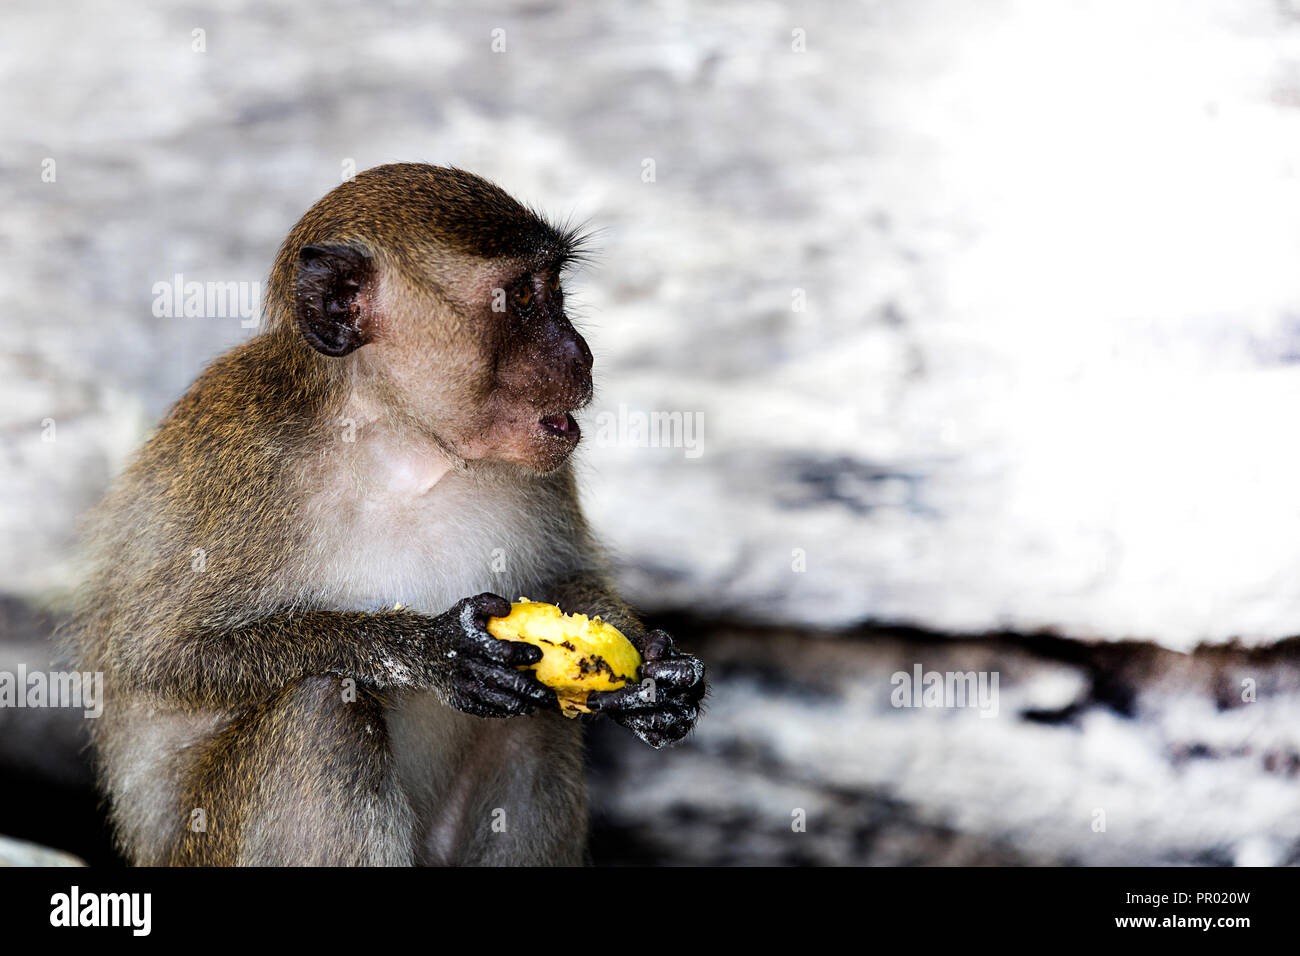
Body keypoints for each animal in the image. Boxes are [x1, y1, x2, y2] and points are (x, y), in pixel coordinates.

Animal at [66, 163, 707, 866]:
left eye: (555, 290)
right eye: (522, 299)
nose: (581, 354)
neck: (400, 443)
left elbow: (560, 583)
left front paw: (656, 670)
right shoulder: (237, 467)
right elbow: (160, 656)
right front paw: (426, 649)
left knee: (532, 722)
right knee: (321, 708)